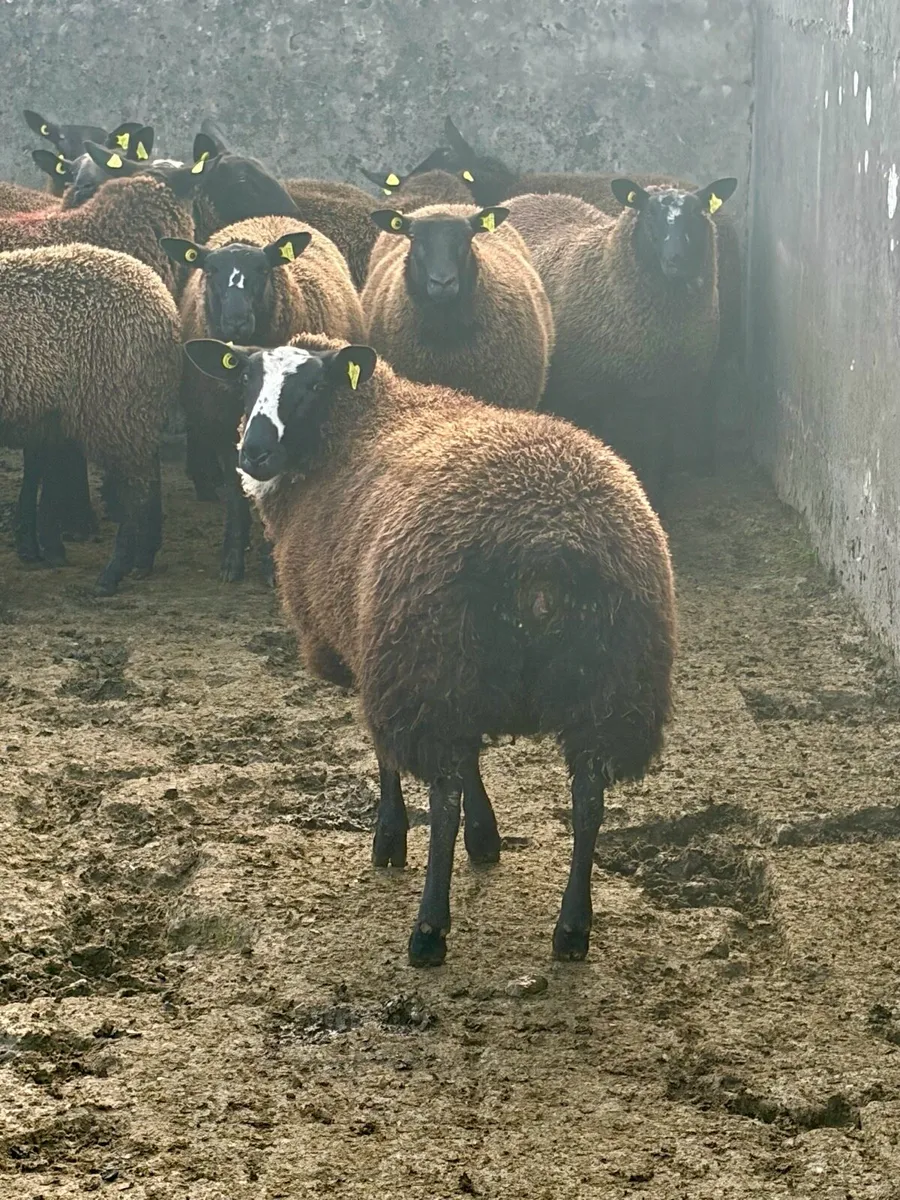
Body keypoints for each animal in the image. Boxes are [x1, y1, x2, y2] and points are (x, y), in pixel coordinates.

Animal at [0, 243, 181, 594]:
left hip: (116, 409)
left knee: (136, 490)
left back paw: (113, 573)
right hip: (131, 411)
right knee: (148, 474)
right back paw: (143, 559)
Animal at [161, 215, 366, 582]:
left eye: (262, 270)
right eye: (210, 270)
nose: (236, 321)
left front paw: (270, 562)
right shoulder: (223, 431)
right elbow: (234, 492)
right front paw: (232, 557)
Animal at [183, 333, 676, 966]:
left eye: (313, 384)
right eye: (244, 377)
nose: (255, 453)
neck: (358, 423)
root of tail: (547, 548)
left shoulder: (381, 659)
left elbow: (392, 759)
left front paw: (390, 839)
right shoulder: (440, 677)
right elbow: (473, 763)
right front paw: (487, 841)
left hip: (434, 661)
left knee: (443, 803)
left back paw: (429, 930)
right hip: (608, 682)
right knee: (589, 799)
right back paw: (571, 928)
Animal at [503, 178, 738, 509]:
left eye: (698, 212)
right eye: (649, 213)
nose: (677, 260)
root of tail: (534, 196)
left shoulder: (665, 393)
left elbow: (658, 453)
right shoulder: (590, 390)